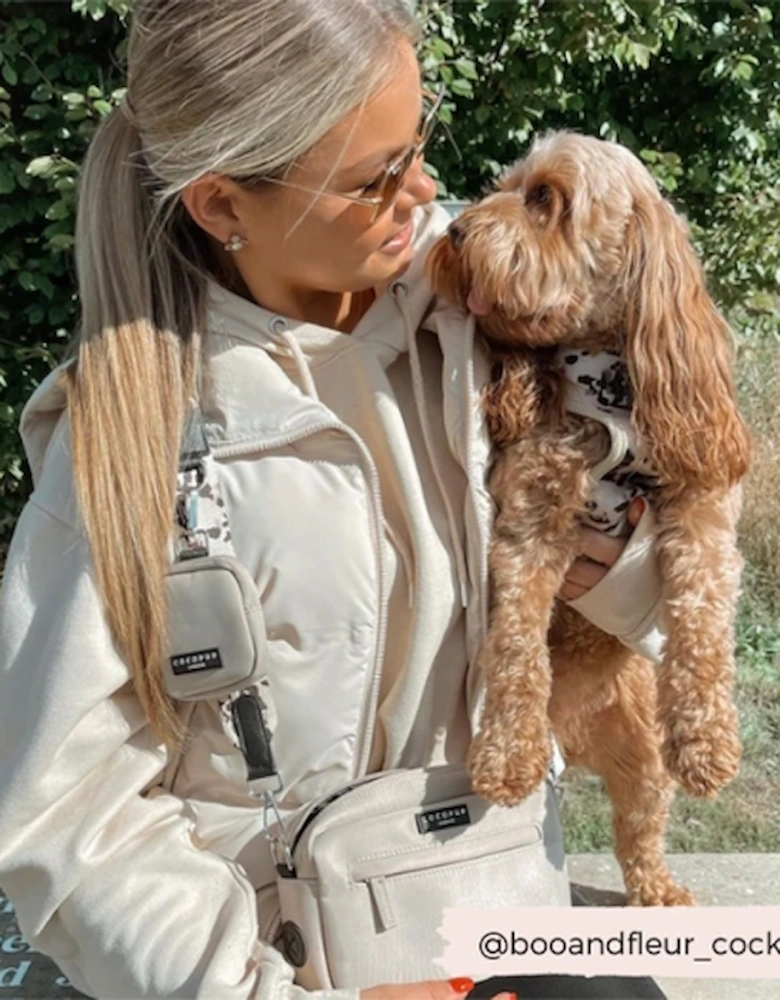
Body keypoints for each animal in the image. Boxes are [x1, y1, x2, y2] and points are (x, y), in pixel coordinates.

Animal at [426, 131, 748, 908]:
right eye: (506, 187)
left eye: (546, 197)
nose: (455, 232)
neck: (607, 384)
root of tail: (573, 740)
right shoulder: (530, 524)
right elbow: (516, 648)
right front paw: (506, 753)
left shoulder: (704, 511)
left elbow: (701, 621)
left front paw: (707, 740)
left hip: (642, 760)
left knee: (640, 829)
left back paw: (660, 892)